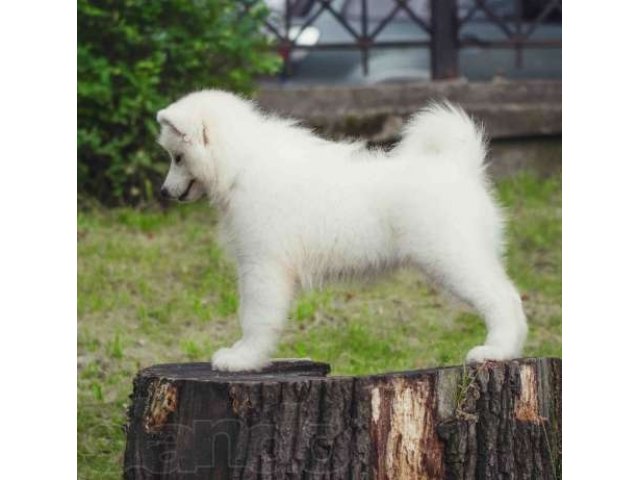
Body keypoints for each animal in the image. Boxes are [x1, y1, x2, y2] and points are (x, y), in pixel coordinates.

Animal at [155, 89, 524, 372]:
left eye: (177, 157)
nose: (163, 191)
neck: (241, 166)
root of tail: (459, 165)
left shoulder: (263, 265)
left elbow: (255, 317)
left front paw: (243, 358)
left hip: (452, 257)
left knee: (503, 298)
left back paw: (496, 351)